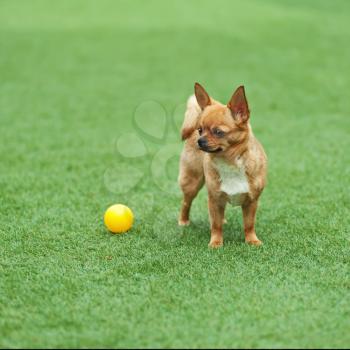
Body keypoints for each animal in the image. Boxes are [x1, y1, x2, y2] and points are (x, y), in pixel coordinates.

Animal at [179, 83, 266, 247]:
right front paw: (216, 243)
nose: (200, 140)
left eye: (218, 132)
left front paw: (252, 240)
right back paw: (183, 221)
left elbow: (249, 224)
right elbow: (216, 224)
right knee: (186, 202)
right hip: (192, 182)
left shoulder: (252, 201)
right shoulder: (214, 199)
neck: (229, 162)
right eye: (200, 130)